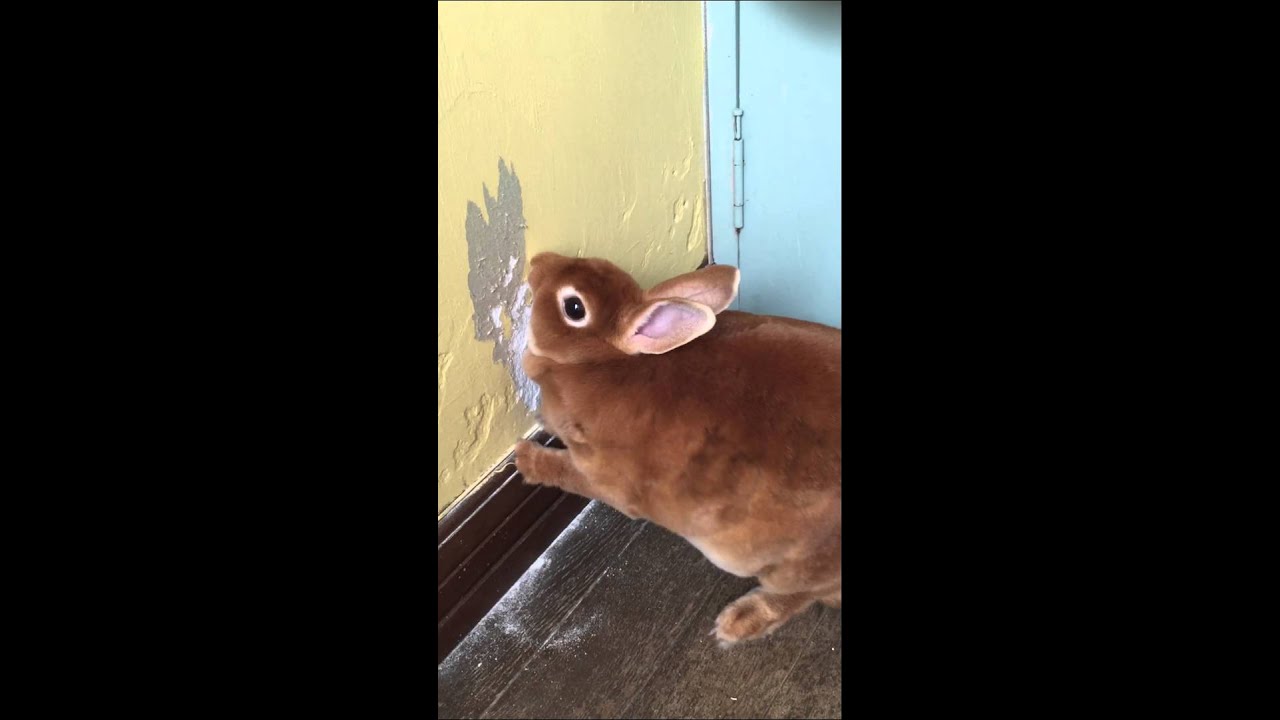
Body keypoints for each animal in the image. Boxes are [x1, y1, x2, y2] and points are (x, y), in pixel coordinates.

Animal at [514, 252, 840, 646]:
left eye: (573, 307)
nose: (538, 261)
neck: (599, 363)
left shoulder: (607, 479)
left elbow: (567, 472)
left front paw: (525, 459)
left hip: (789, 566)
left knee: (800, 594)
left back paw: (739, 622)